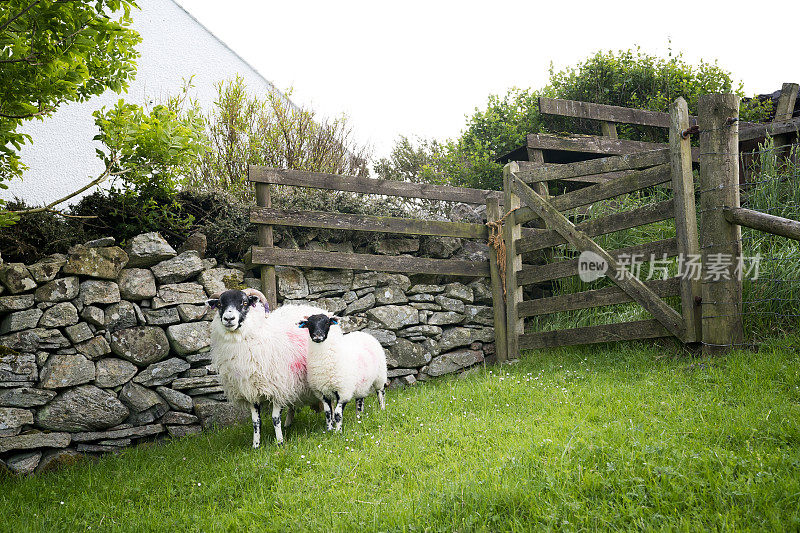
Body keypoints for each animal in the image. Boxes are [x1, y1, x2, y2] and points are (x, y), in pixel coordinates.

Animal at [209, 288, 328, 446]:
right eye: (220, 304)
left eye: (244, 302)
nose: (229, 319)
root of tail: (313, 308)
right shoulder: (251, 391)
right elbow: (255, 422)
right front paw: (256, 445)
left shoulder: (277, 387)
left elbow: (275, 418)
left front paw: (280, 443)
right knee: (291, 404)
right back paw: (288, 423)